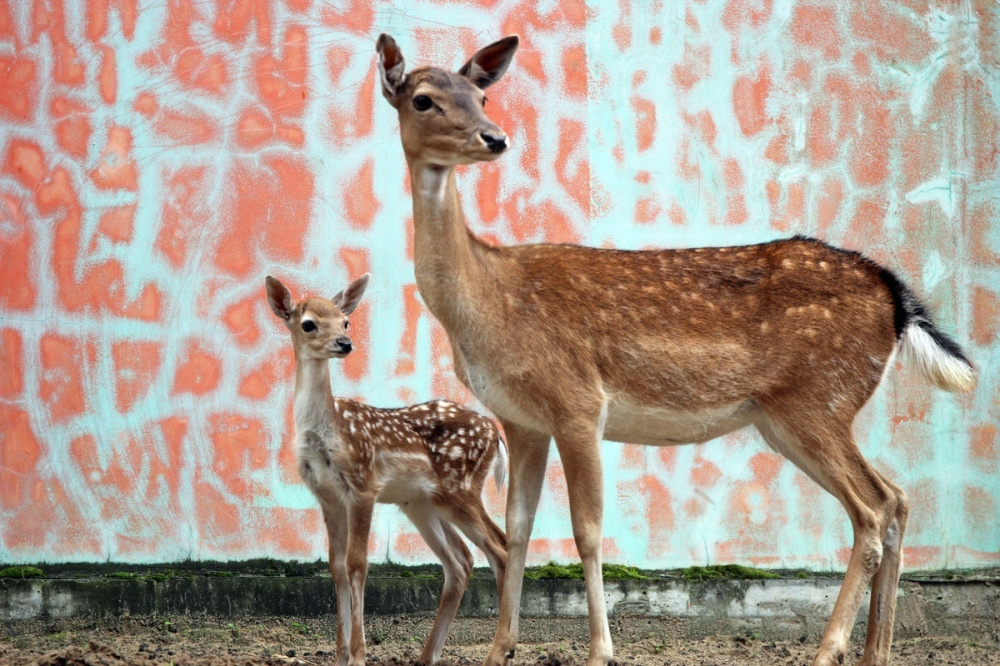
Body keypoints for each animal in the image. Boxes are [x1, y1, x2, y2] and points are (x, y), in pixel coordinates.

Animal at [376, 32, 976, 664]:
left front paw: (601, 651)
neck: (489, 301)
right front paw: (500, 650)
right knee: (898, 498)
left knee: (873, 508)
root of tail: (895, 295)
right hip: (792, 417)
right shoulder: (521, 420)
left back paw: (827, 648)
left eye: (481, 97)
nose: (495, 138)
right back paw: (872, 652)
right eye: (423, 98)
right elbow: (517, 530)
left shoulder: (578, 400)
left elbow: (587, 530)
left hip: (818, 400)